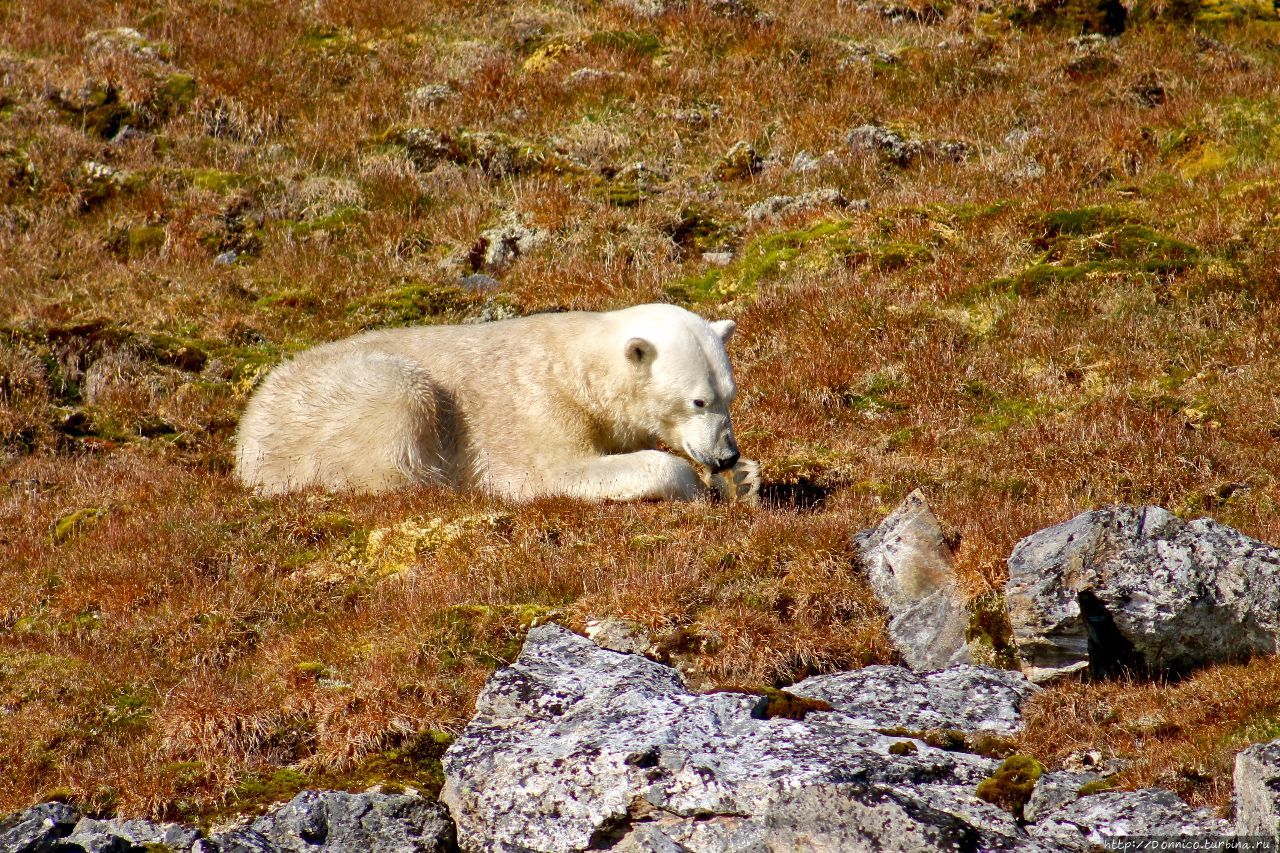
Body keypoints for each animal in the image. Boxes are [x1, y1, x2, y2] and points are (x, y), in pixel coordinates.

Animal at [232, 303, 757, 499]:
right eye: (698, 401)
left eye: (729, 395)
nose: (726, 455)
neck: (580, 366)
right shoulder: (539, 405)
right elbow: (554, 471)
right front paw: (695, 486)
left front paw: (746, 479)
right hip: (332, 405)